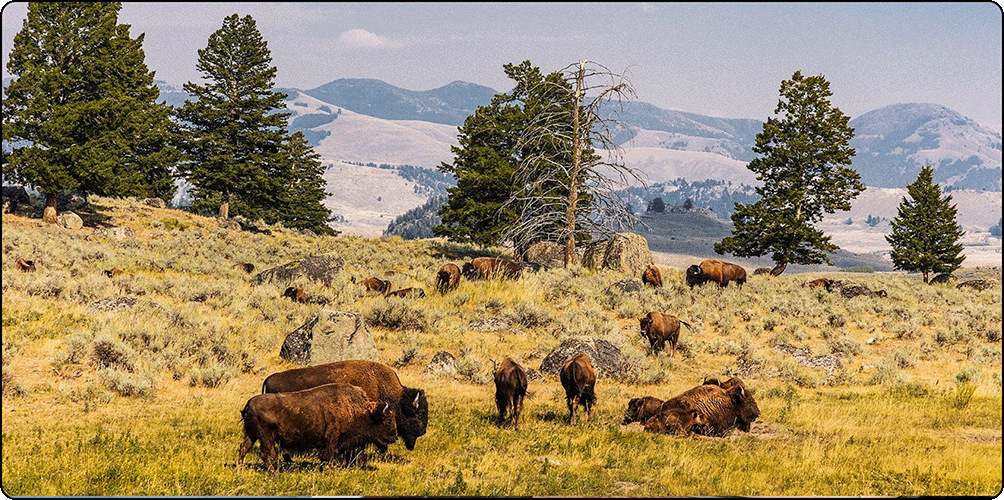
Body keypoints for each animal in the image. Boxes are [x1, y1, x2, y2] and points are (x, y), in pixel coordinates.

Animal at [238, 383, 397, 473]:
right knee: (264, 454)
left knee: (244, 449)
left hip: (253, 435)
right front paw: (331, 471)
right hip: (265, 437)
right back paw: (275, 472)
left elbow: (325, 457)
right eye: (387, 422)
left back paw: (241, 470)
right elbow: (329, 456)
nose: (395, 437)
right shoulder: (332, 439)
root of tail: (248, 404)